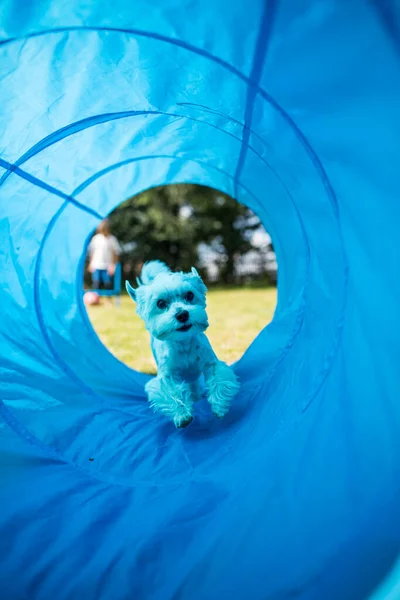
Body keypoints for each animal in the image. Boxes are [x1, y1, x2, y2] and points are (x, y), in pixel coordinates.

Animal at [126, 262, 239, 426]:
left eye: (190, 295)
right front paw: (182, 415)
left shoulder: (211, 364)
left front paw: (219, 407)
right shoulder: (167, 376)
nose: (182, 314)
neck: (183, 344)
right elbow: (172, 393)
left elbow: (219, 381)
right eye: (160, 303)